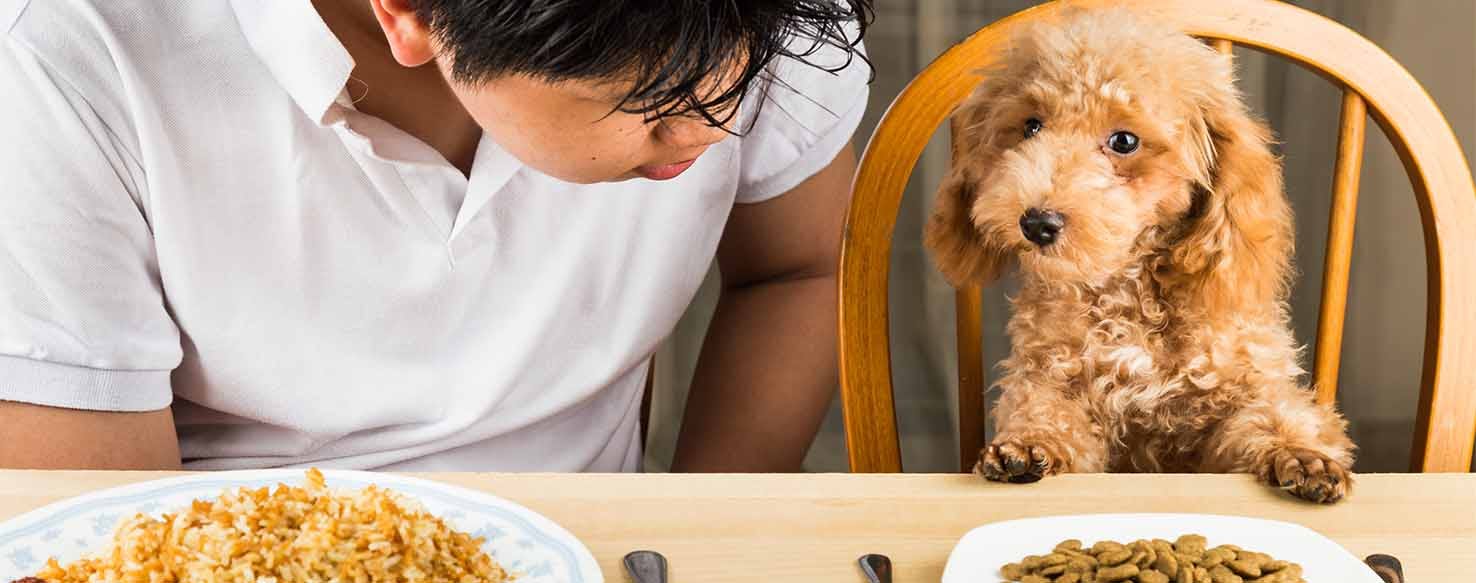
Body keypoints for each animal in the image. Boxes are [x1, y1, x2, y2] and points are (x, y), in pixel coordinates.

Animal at [926, 6, 1352, 504]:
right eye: (1031, 126)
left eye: (1124, 141)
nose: (1036, 223)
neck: (1129, 293)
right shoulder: (1049, 379)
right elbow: (1048, 415)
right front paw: (1029, 445)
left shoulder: (1243, 393)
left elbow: (1274, 416)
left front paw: (1302, 455)